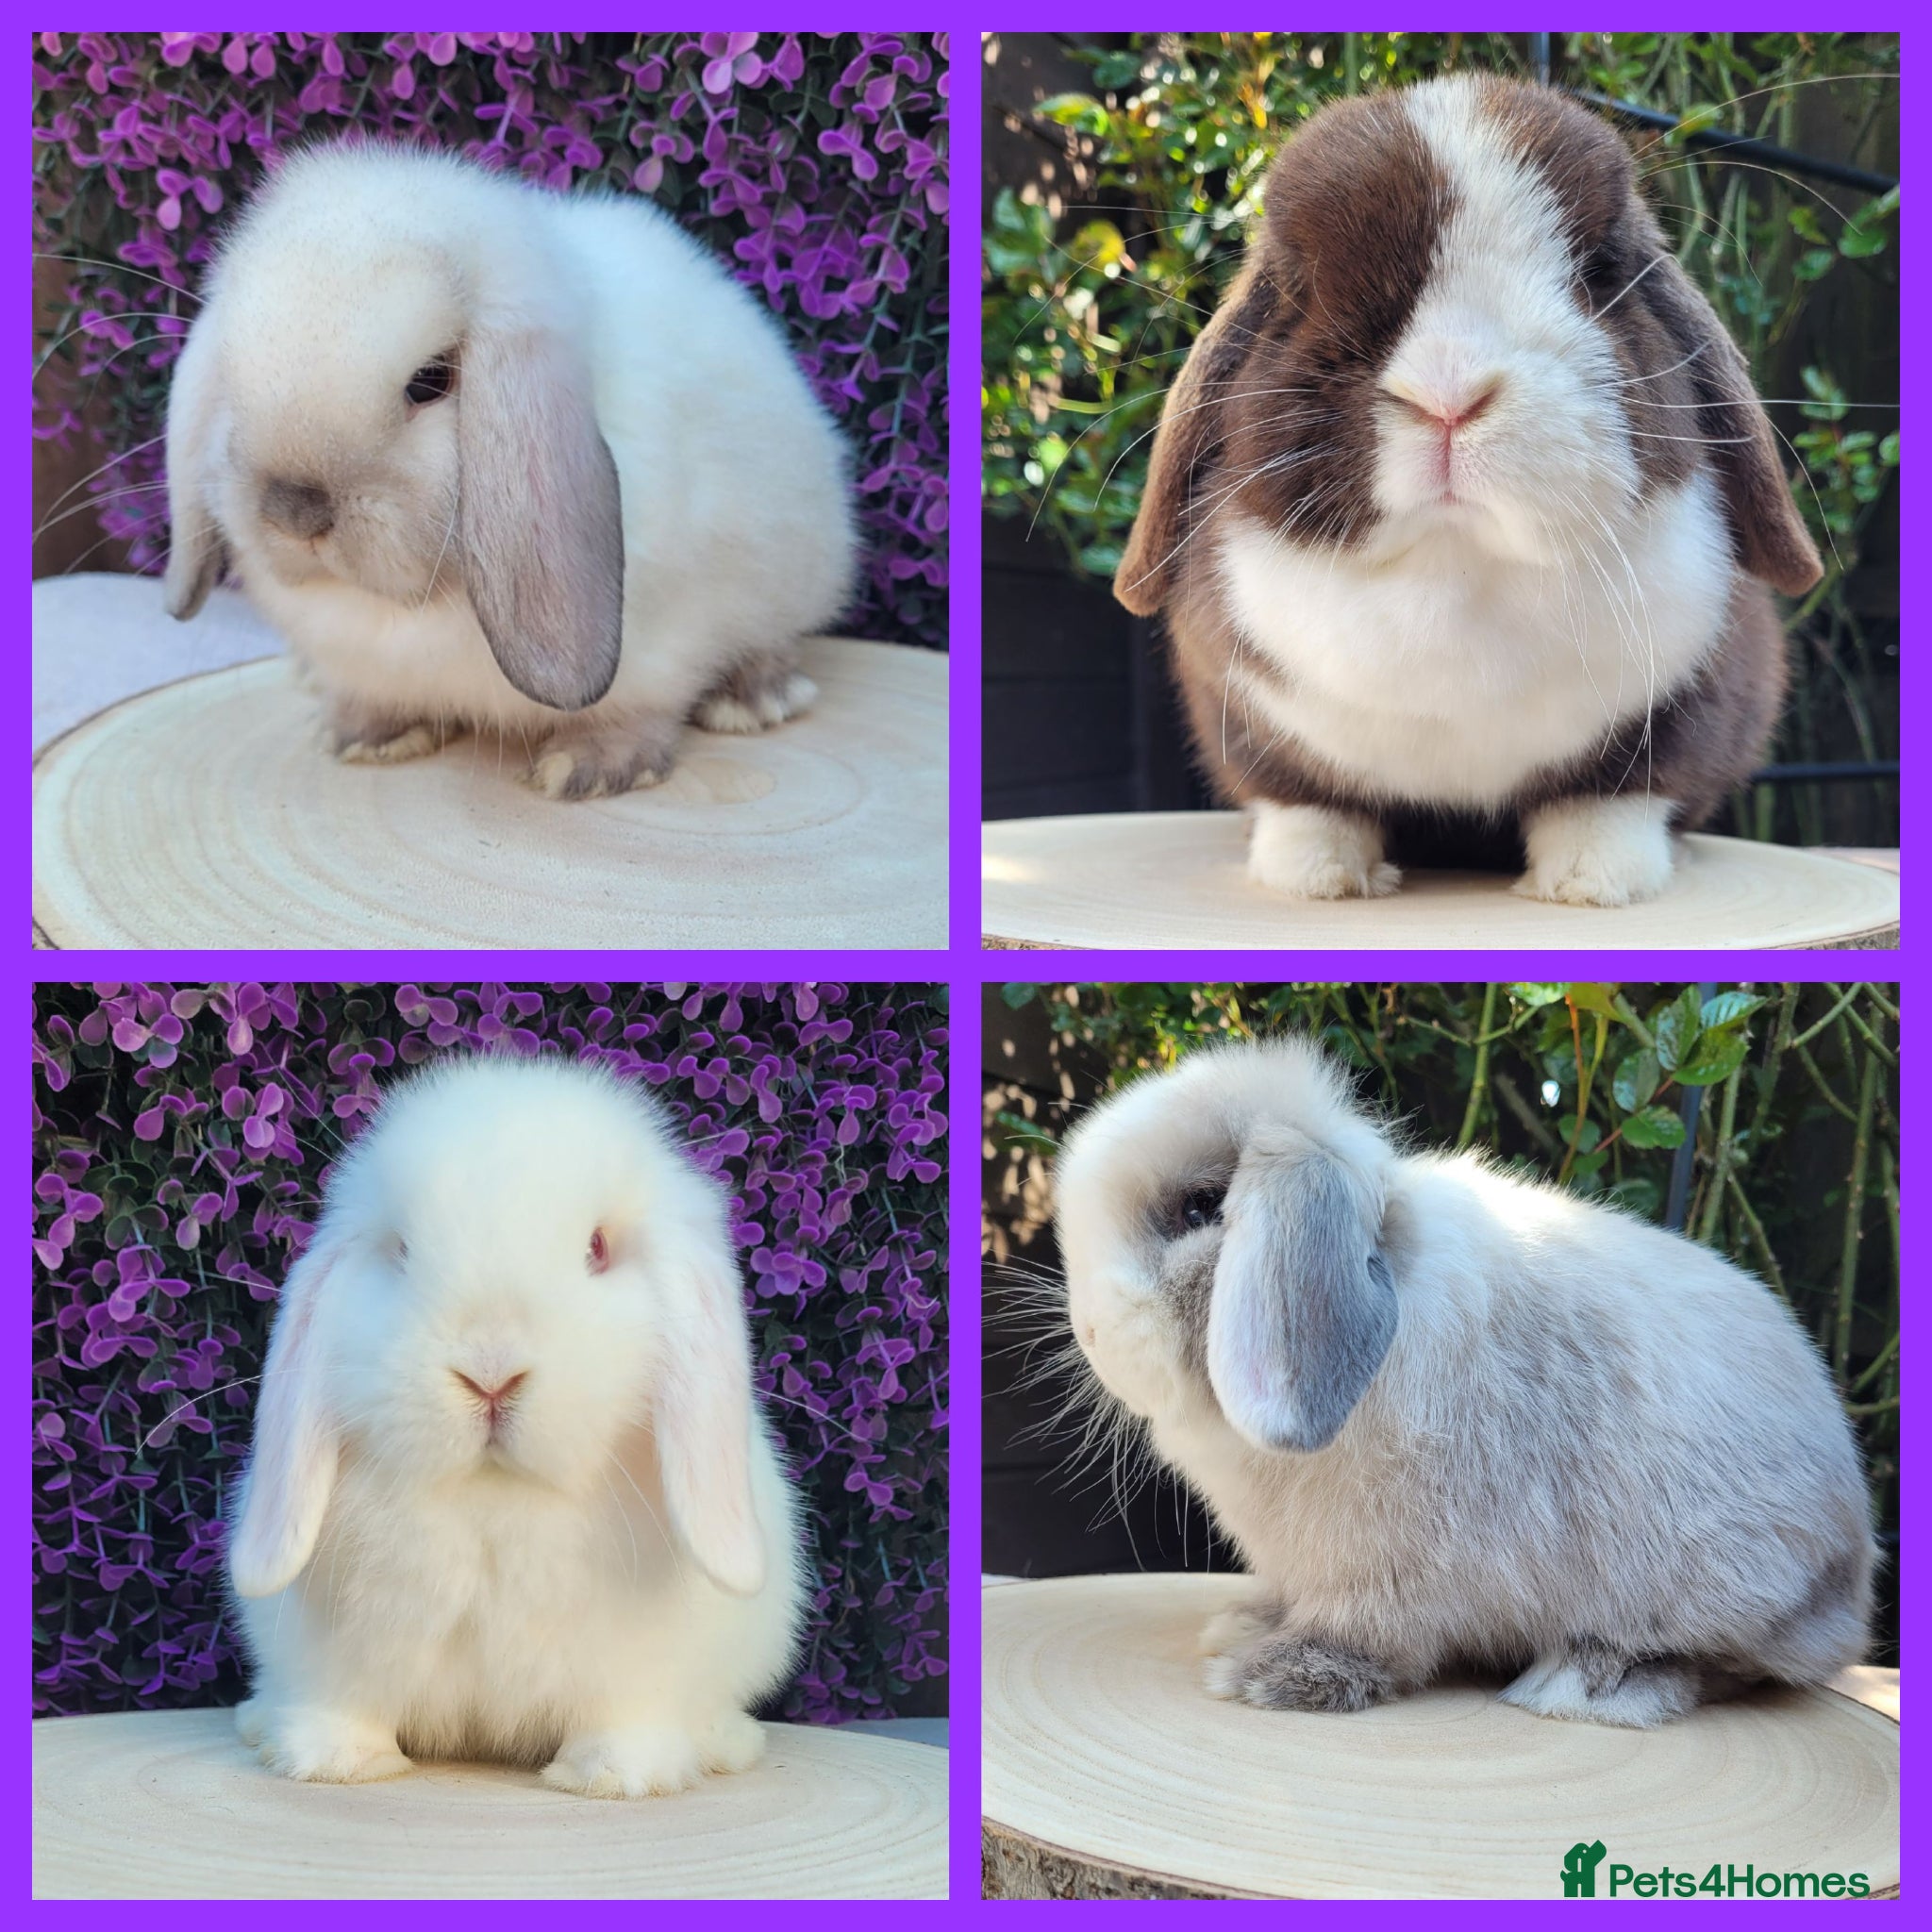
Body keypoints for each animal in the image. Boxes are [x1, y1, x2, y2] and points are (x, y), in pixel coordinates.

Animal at [162, 140, 858, 799]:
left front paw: (592, 766)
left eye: (430, 381)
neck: (414, 605)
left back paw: (756, 699)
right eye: (232, 374)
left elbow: (639, 708)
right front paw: (365, 735)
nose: (294, 511)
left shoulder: (664, 644)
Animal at [225, 1053, 807, 1795]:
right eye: (401, 1250)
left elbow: (626, 1713)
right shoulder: (339, 1654)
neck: (493, 1498)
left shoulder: (636, 1668)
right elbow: (346, 1701)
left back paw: (722, 1743)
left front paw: (614, 1776)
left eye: (597, 1247)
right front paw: (335, 1761)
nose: (490, 1373)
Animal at [1053, 1037, 1875, 1728]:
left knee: (1734, 1665)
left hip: (1725, 1585)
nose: (1090, 1332)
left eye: (1200, 1207)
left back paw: (1590, 1686)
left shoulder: (1388, 1573)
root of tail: (1853, 1571)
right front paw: (1244, 1626)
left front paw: (1278, 1673)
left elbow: (1367, 1633)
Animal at [1114, 75, 1822, 906]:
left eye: (1602, 270)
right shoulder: (1252, 723)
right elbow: (1310, 801)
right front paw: (1318, 877)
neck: (1453, 570)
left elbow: (1609, 800)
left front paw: (1592, 882)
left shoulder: (1679, 717)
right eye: (1297, 286)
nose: (1446, 393)